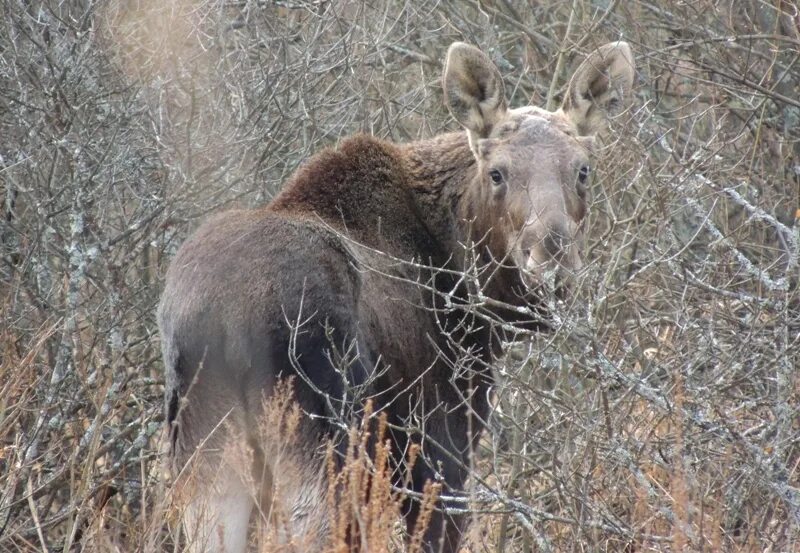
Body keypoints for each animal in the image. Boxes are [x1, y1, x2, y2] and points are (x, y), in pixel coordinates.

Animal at [159, 41, 636, 548]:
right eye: (497, 173)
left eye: (583, 171)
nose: (550, 259)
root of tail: (224, 322)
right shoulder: (441, 449)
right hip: (323, 449)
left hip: (206, 460)